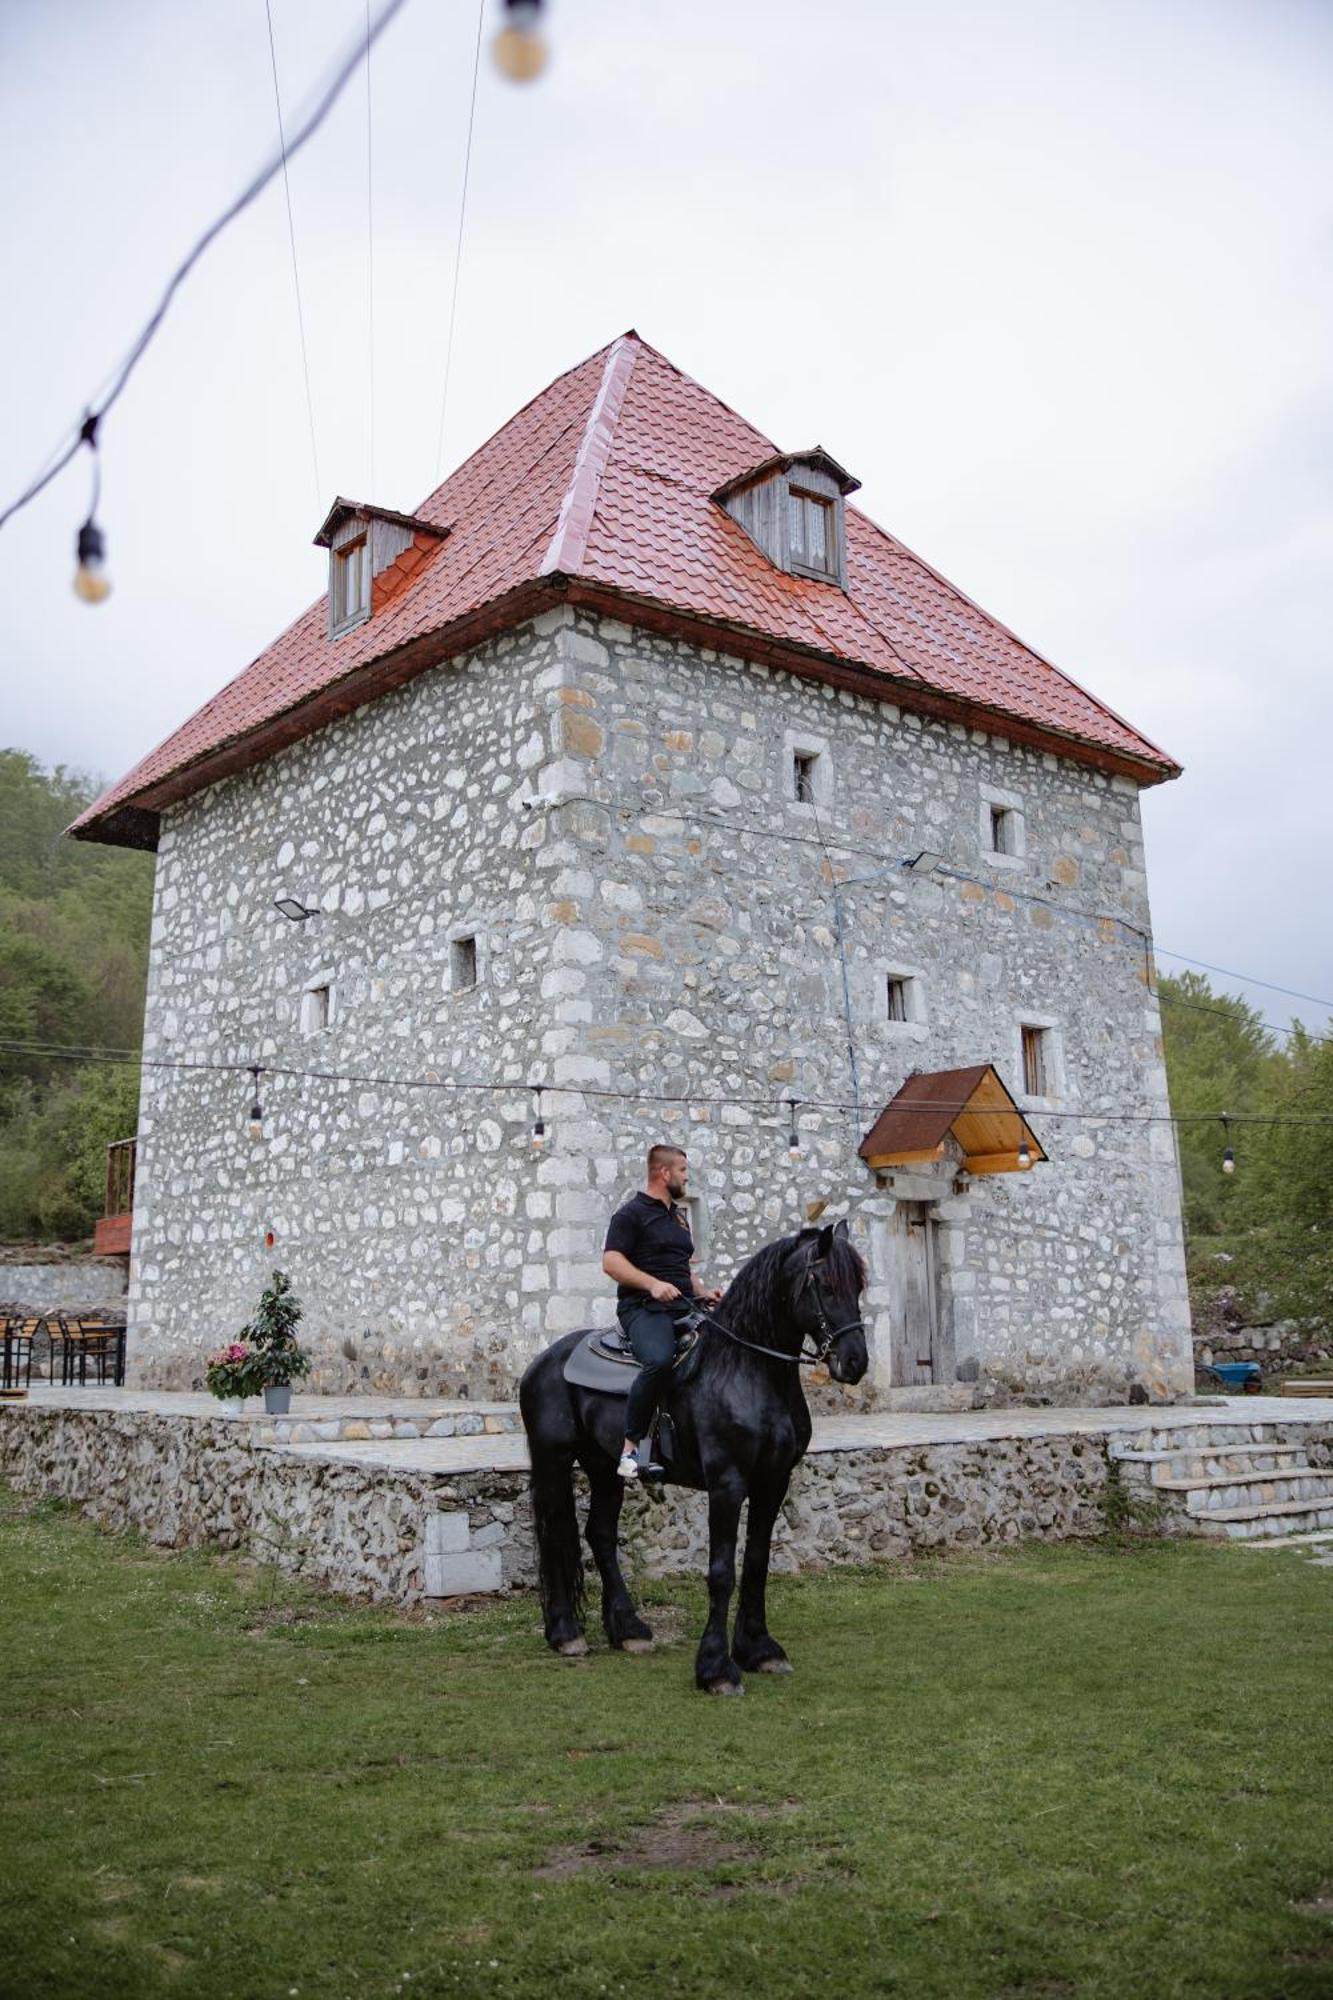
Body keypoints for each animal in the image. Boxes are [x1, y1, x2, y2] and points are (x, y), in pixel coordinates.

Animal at [512, 1216, 868, 1688]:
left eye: (858, 1286)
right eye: (825, 1284)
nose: (855, 1362)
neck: (745, 1369)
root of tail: (543, 1361)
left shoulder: (774, 1480)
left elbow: (756, 1563)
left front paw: (759, 1649)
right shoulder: (727, 1483)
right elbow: (721, 1572)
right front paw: (716, 1668)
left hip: (605, 1467)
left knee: (600, 1534)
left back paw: (628, 1629)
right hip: (553, 1460)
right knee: (555, 1535)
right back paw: (566, 1633)